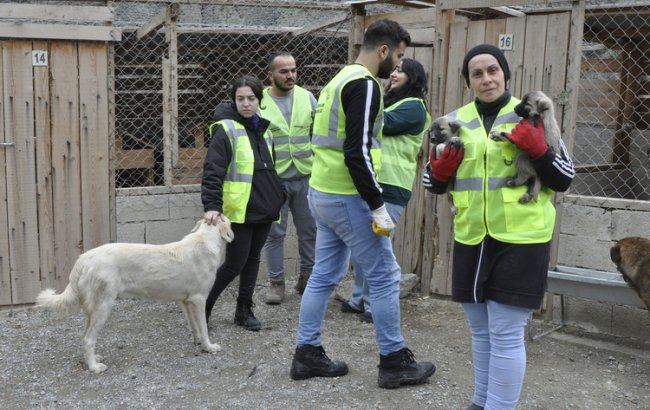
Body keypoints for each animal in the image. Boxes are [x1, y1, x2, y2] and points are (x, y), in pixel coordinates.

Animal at [35, 218, 233, 374]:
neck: (205, 240)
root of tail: (83, 259)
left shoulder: (185, 301)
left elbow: (195, 327)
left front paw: (198, 341)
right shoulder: (199, 299)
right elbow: (204, 327)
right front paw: (209, 347)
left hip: (92, 310)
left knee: (84, 337)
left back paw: (92, 359)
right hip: (103, 306)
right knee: (88, 339)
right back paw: (94, 367)